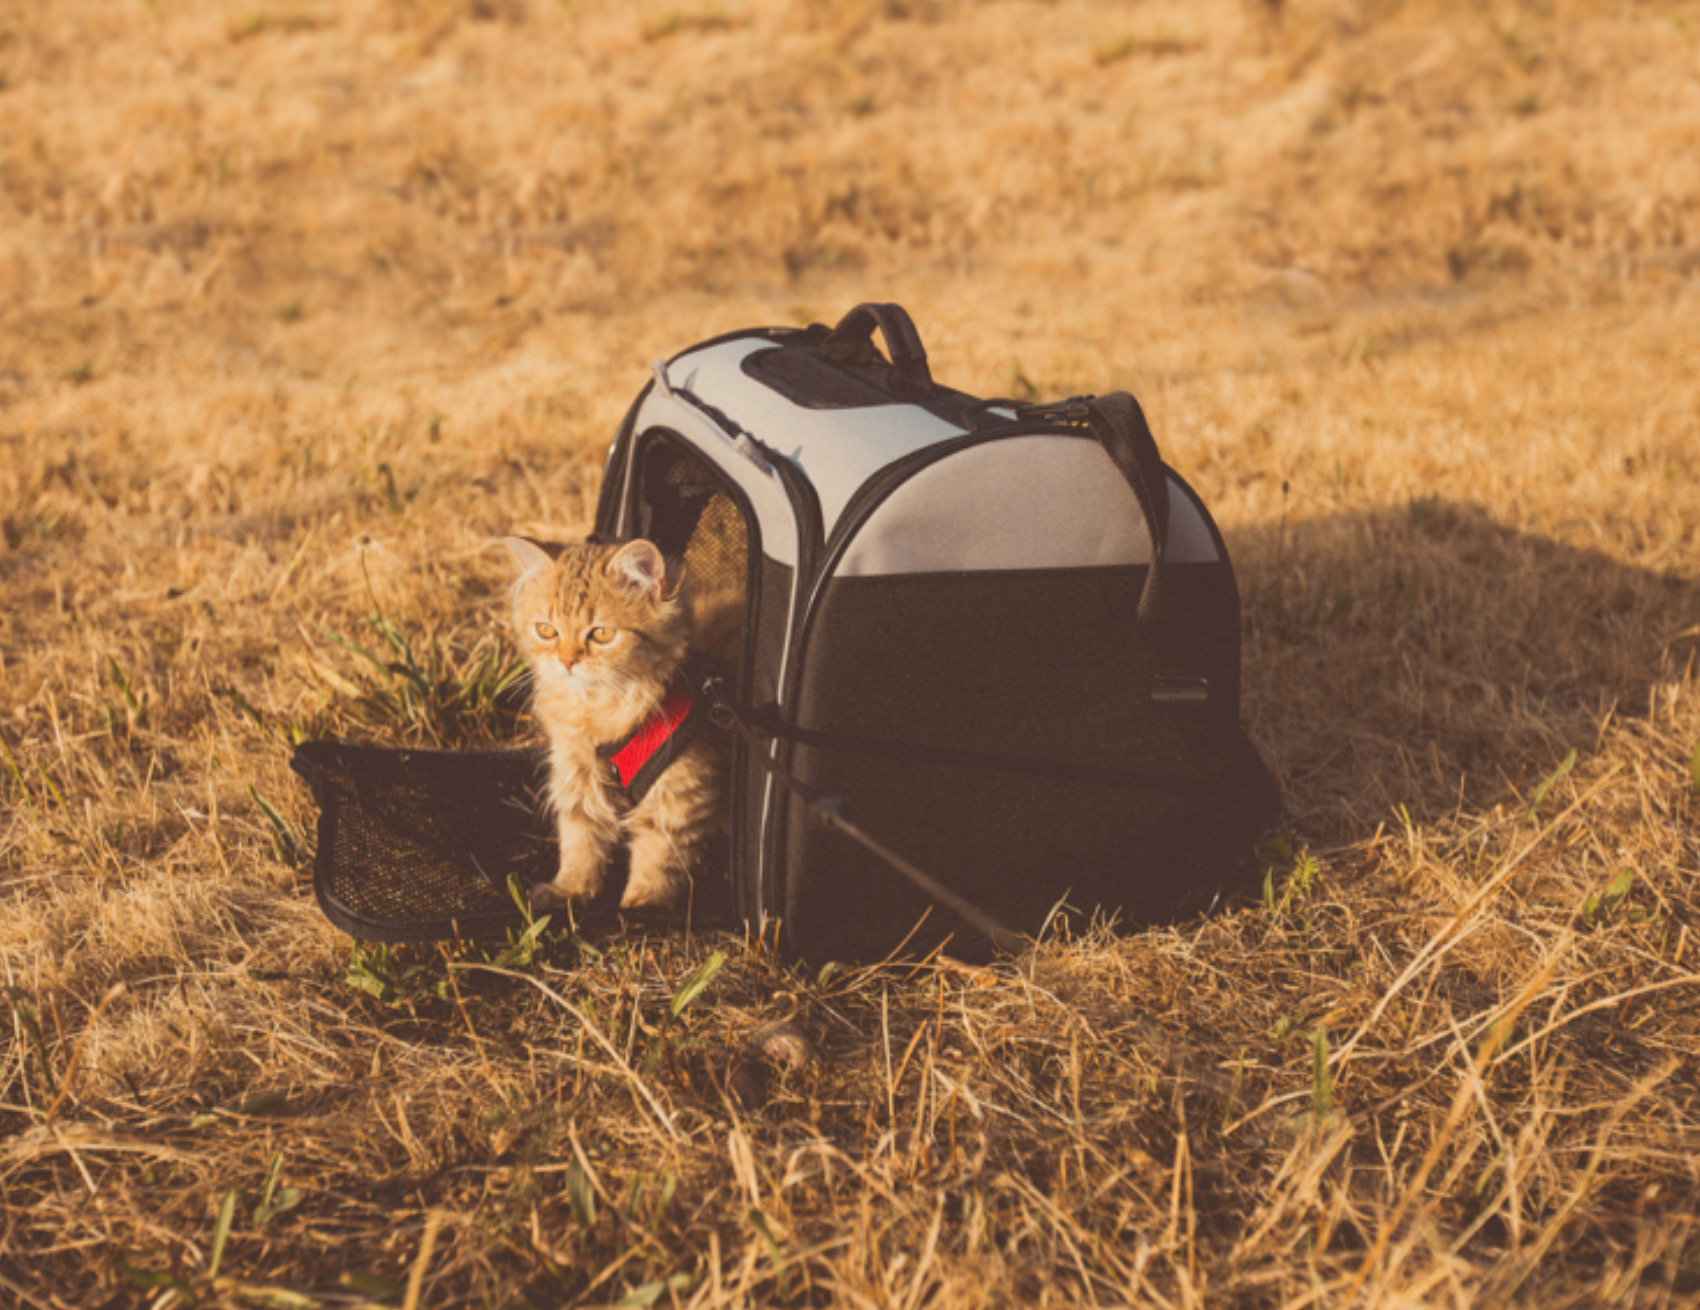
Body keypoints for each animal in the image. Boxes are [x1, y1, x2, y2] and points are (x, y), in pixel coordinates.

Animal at [499, 536, 720, 917]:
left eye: (601, 634)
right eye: (546, 630)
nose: (567, 661)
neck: (599, 709)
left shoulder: (679, 792)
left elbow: (658, 855)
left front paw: (643, 904)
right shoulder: (577, 774)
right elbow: (580, 840)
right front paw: (570, 891)